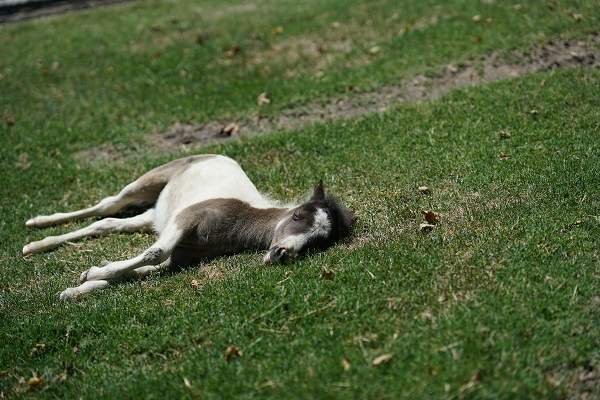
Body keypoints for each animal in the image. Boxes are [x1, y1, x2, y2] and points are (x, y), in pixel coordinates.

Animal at [21, 155, 354, 298]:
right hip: (146, 183)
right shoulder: (187, 220)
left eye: (317, 242)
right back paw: (34, 228)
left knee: (107, 223)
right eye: (298, 217)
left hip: (155, 216)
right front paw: (92, 273)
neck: (237, 221)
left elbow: (144, 269)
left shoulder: (179, 257)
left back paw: (37, 245)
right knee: (107, 205)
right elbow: (154, 253)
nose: (282, 253)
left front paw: (78, 288)